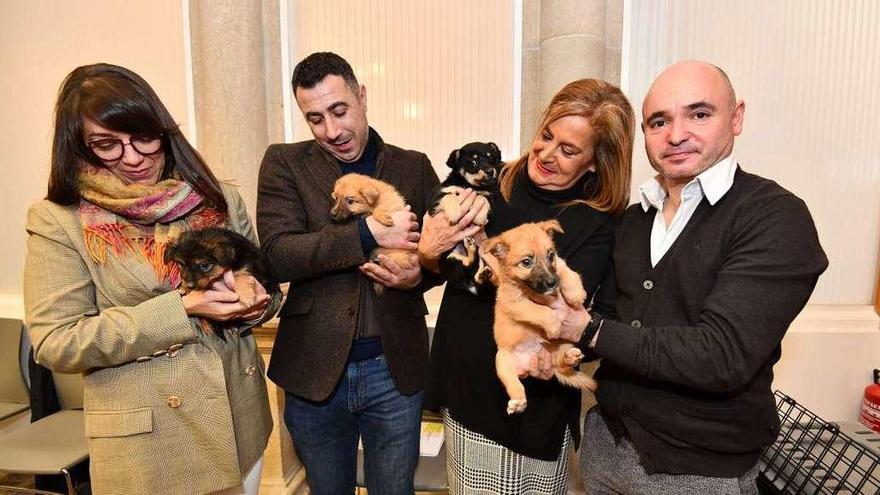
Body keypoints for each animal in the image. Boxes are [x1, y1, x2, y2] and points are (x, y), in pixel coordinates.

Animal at [482, 221, 600, 414]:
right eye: (526, 262)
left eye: (550, 255)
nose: (553, 283)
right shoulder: (515, 303)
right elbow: (540, 311)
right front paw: (554, 326)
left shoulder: (559, 265)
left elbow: (566, 271)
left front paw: (576, 293)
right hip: (502, 362)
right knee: (514, 384)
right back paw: (518, 402)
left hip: (564, 345)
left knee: (561, 365)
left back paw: (570, 358)